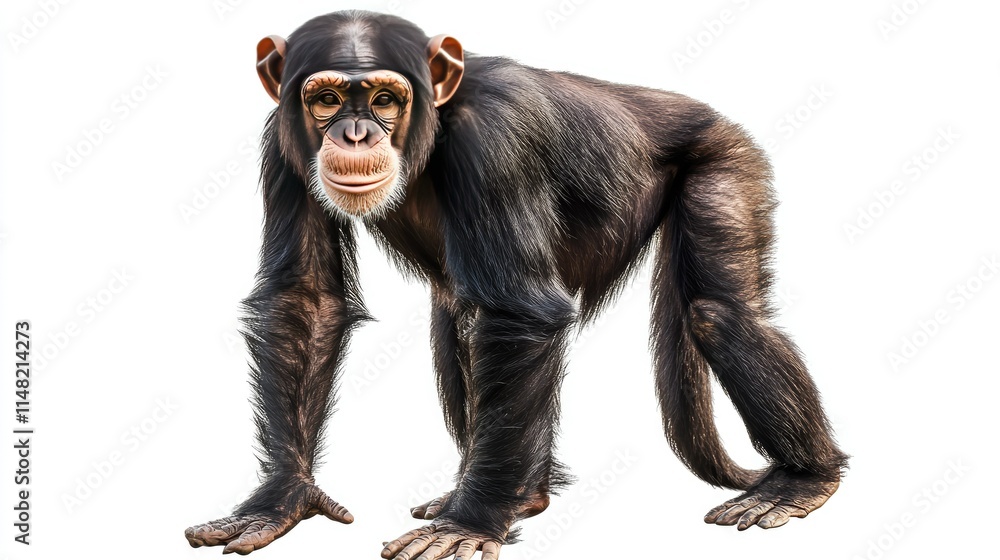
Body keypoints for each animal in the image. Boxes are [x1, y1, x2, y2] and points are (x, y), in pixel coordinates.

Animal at [183, 10, 848, 559]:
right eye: (325, 98)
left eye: (382, 98)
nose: (353, 133)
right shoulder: (281, 144)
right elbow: (307, 301)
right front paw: (281, 501)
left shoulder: (495, 139)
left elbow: (520, 313)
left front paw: (470, 523)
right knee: (456, 324)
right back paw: (524, 494)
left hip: (727, 163)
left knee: (718, 312)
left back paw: (801, 481)